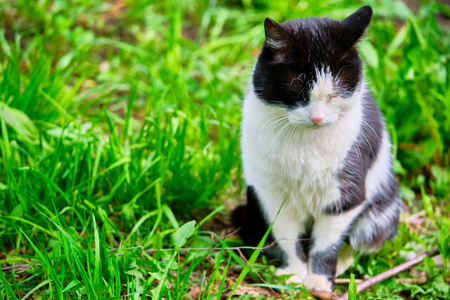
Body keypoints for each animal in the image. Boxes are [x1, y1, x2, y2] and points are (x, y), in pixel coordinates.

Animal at [232, 5, 400, 292]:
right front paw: (293, 274)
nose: (317, 118)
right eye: (298, 91)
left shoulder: (346, 195)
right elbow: (287, 235)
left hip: (380, 212)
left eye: (335, 94)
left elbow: (327, 243)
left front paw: (319, 279)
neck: (306, 144)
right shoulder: (270, 194)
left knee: (360, 240)